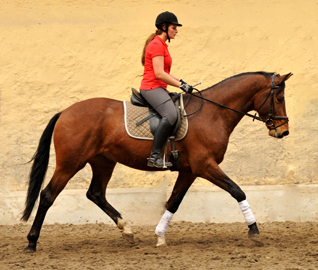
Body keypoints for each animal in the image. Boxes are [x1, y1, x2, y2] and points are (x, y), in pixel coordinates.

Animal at [21, 71, 292, 251]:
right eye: (279, 99)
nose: (283, 131)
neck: (212, 112)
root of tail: (64, 112)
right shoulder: (205, 165)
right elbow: (237, 191)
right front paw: (254, 230)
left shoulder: (190, 170)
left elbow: (173, 202)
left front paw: (160, 236)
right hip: (70, 163)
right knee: (48, 195)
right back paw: (32, 241)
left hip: (103, 162)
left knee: (96, 193)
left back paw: (127, 230)